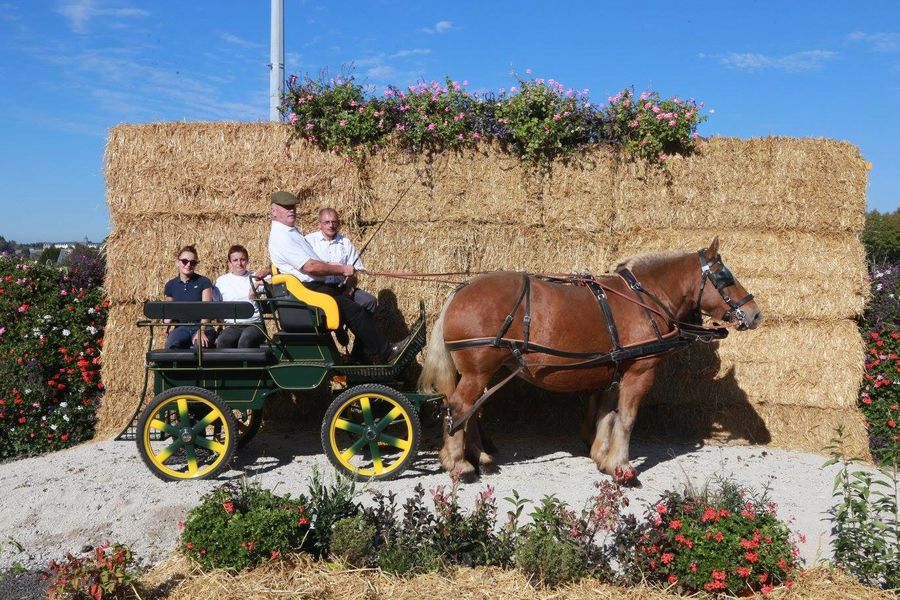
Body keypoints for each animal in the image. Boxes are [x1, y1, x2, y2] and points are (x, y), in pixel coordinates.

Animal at [416, 236, 760, 482]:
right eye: (724, 276)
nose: (755, 313)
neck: (643, 300)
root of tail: (462, 289)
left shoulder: (614, 370)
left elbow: (607, 414)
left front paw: (603, 458)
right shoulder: (640, 372)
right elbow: (627, 418)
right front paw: (622, 467)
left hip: (484, 371)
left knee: (471, 411)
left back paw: (480, 458)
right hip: (479, 370)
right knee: (459, 408)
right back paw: (460, 465)